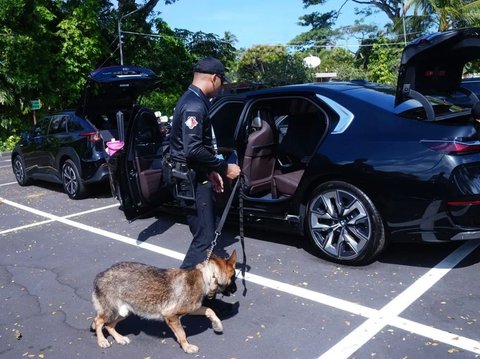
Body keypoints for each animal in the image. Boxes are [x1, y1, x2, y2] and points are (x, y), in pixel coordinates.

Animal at [91, 252, 236, 356]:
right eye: (234, 276)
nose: (236, 290)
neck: (206, 277)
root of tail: (101, 274)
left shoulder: (193, 309)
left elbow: (210, 310)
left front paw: (217, 324)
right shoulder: (171, 316)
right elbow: (182, 333)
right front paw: (186, 347)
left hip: (125, 312)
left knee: (109, 325)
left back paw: (120, 339)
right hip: (113, 311)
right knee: (98, 321)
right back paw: (102, 341)